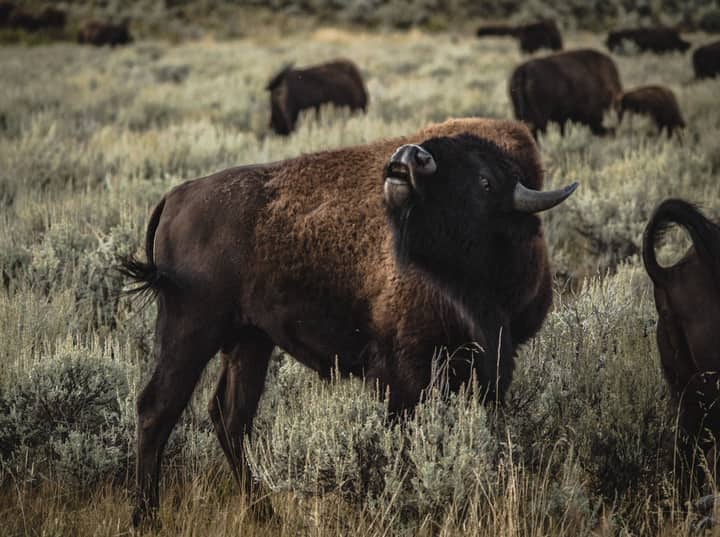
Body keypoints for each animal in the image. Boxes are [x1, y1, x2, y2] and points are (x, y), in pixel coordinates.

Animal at [121, 118, 577, 525]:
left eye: (485, 182)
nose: (410, 157)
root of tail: (177, 195)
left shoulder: (486, 367)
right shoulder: (404, 372)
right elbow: (403, 439)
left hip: (250, 341)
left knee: (231, 418)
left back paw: (265, 513)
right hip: (189, 332)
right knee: (157, 408)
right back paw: (147, 518)